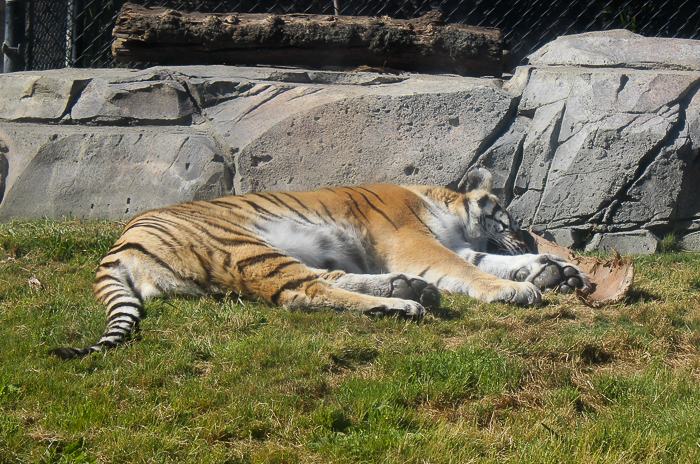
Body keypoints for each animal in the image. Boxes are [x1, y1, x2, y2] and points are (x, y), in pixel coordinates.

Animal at [50, 169, 592, 360]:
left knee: (324, 278)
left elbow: (482, 261)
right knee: (300, 293)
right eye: (510, 217)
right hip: (247, 245)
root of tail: (120, 242)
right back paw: (403, 304)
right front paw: (521, 286)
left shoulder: (453, 246)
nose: (527, 235)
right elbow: (473, 270)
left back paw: (406, 290)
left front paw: (554, 269)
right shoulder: (416, 241)